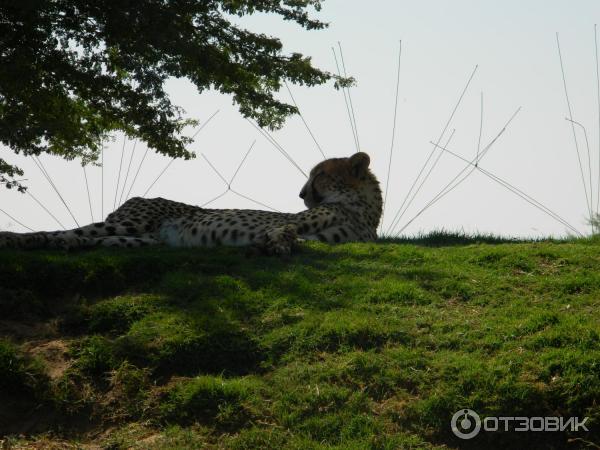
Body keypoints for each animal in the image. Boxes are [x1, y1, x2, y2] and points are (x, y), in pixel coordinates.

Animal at [0, 153, 382, 255]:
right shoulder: (299, 221)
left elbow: (296, 237)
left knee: (84, 239)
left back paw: (65, 246)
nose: (302, 194)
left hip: (141, 240)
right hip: (129, 223)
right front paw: (273, 243)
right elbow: (285, 226)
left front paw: (272, 246)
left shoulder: (330, 241)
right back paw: (19, 239)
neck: (363, 210)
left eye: (319, 175)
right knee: (66, 230)